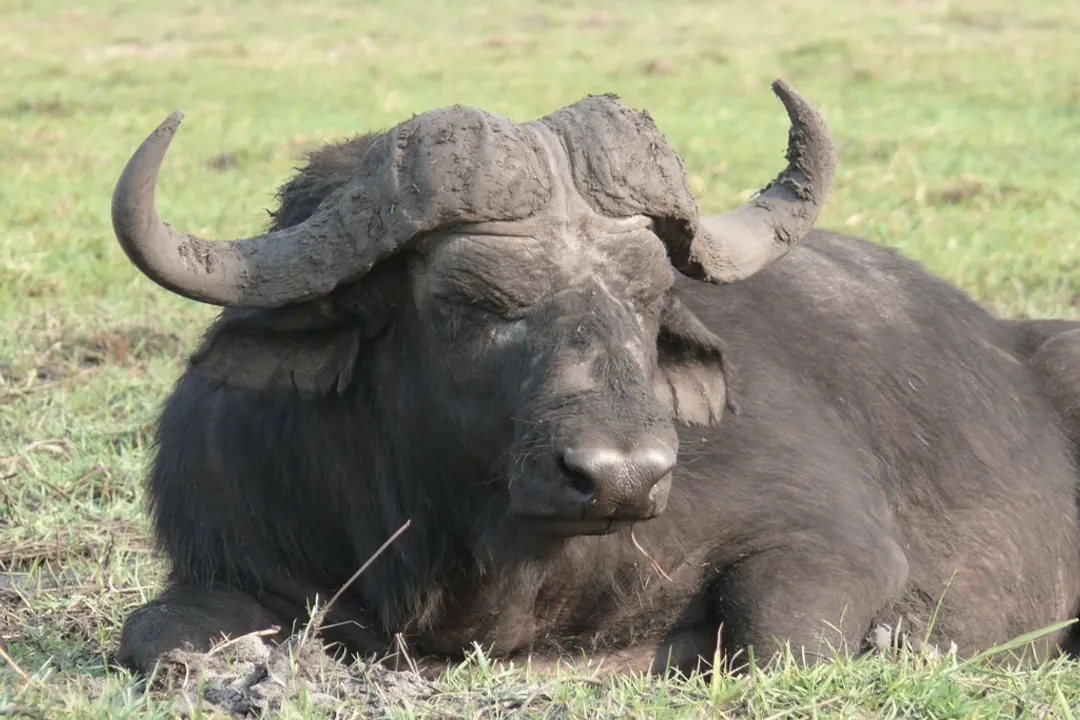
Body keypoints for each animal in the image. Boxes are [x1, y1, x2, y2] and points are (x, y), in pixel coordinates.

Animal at [111, 79, 1080, 677]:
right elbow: (149, 634)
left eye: (648, 297)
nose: (622, 476)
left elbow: (777, 638)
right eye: (474, 298)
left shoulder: (833, 542)